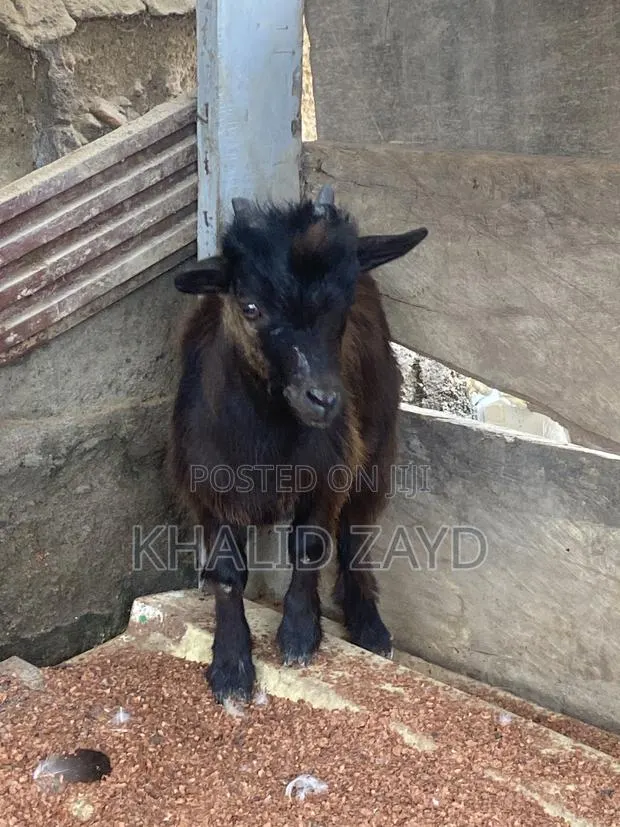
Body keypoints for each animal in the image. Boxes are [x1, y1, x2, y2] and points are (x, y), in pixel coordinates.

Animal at [169, 186, 427, 703]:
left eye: (343, 304)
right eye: (250, 307)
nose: (323, 400)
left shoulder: (329, 473)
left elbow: (309, 547)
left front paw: (299, 634)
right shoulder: (205, 488)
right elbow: (226, 574)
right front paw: (231, 667)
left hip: (376, 446)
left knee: (355, 534)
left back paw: (369, 625)